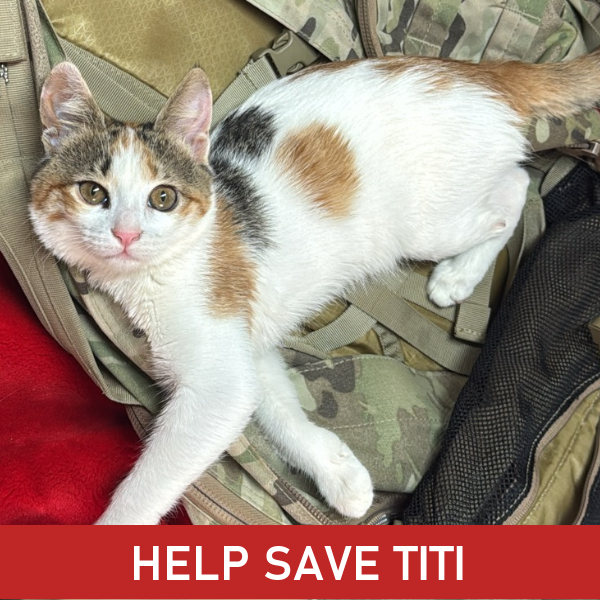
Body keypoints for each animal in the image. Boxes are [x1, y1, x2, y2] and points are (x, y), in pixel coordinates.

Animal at [30, 51, 600, 525]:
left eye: (163, 198)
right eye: (92, 193)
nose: (126, 234)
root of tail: (477, 72)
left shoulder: (215, 381)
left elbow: (154, 478)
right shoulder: (246, 349)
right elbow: (274, 406)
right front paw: (339, 472)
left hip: (426, 223)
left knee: (512, 197)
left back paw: (456, 275)